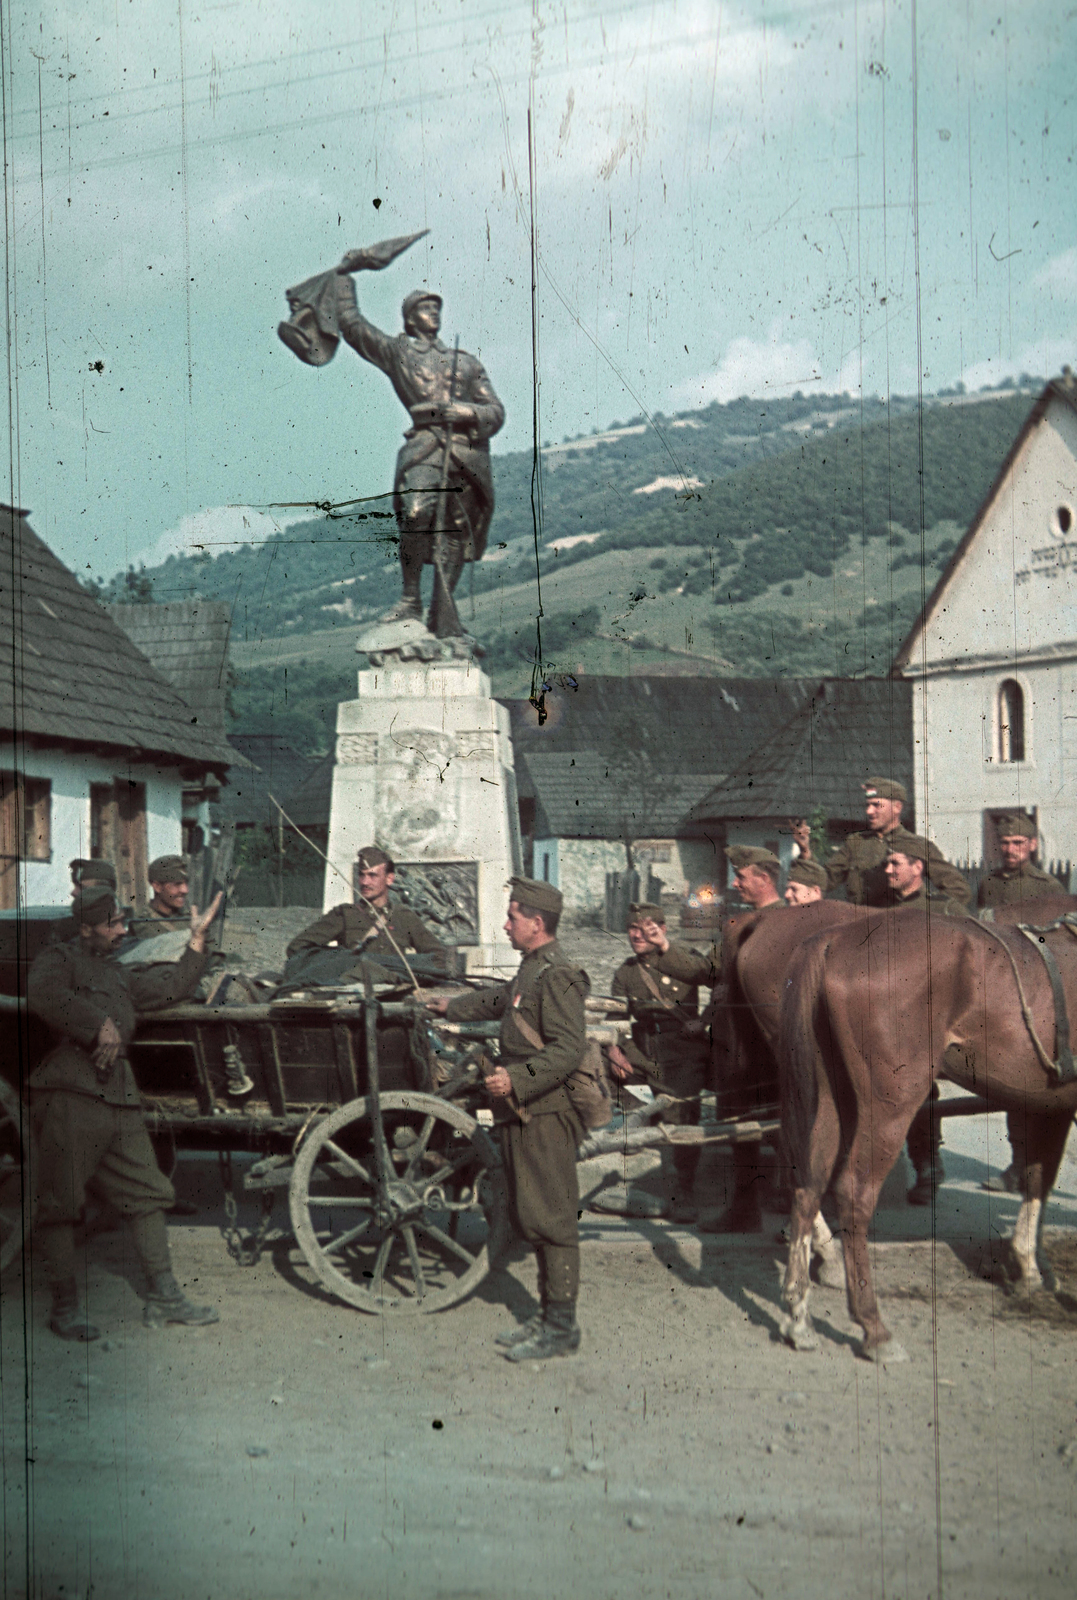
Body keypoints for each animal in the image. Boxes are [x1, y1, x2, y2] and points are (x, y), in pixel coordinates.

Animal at [777, 902, 1075, 1363]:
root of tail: (833, 940)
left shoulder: (1048, 1105)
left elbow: (1037, 1179)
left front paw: (1029, 1267)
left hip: (830, 1100)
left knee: (809, 1186)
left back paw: (799, 1315)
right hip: (892, 1105)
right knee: (853, 1194)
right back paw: (874, 1327)